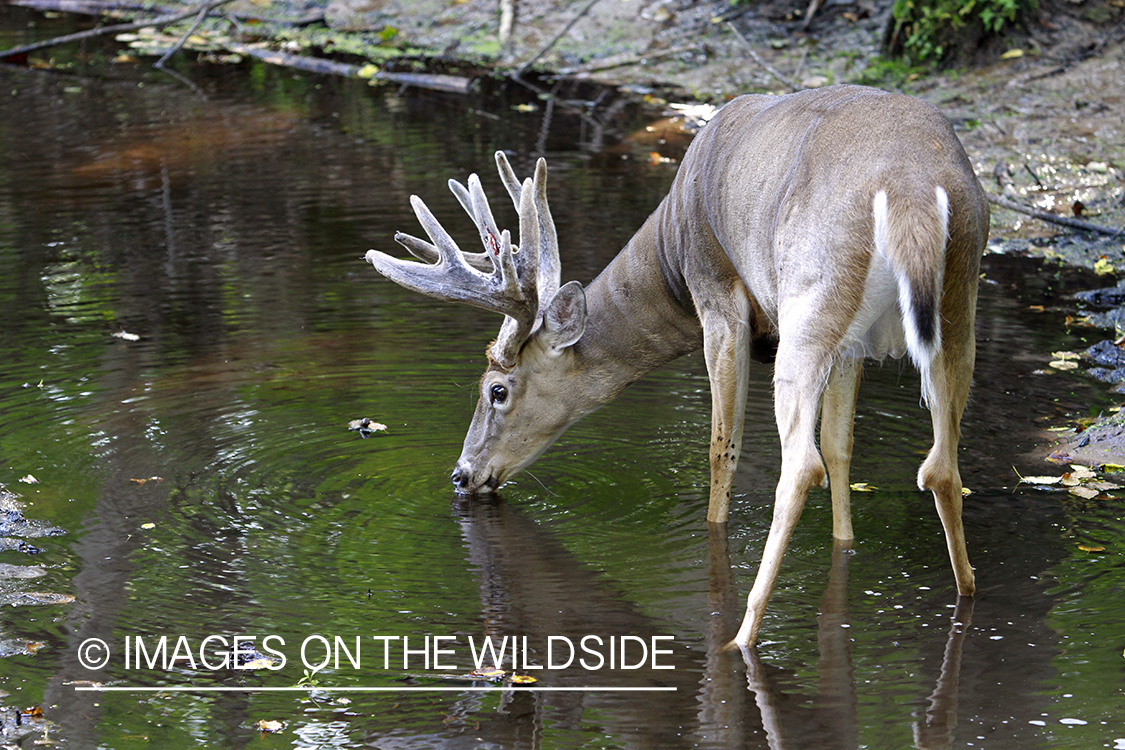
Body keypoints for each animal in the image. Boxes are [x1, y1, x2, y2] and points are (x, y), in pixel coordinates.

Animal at [364, 83, 990, 652]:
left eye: (496, 389)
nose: (461, 475)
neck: (670, 258)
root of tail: (910, 189)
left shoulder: (717, 295)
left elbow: (721, 448)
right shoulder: (853, 345)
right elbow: (842, 448)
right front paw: (844, 545)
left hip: (812, 298)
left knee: (800, 466)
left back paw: (740, 636)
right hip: (957, 301)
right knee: (937, 464)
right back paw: (967, 594)